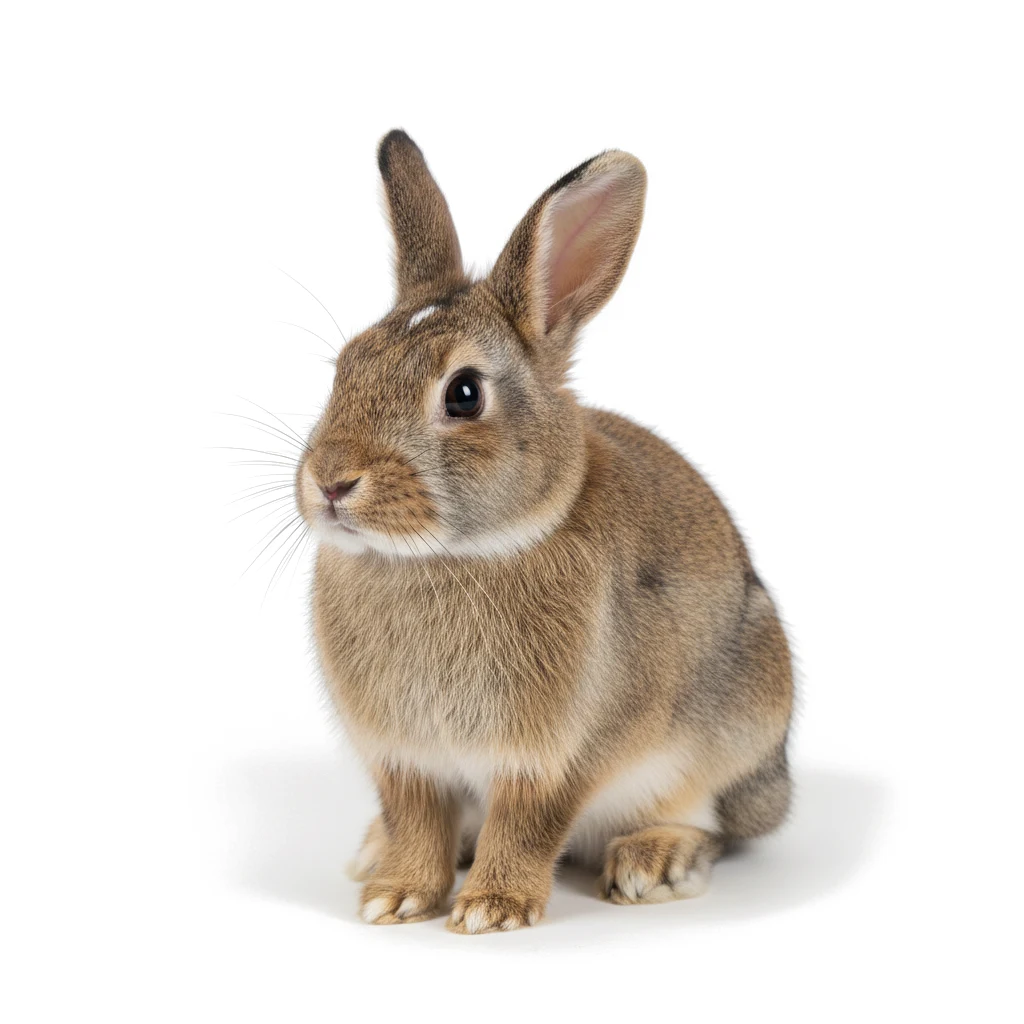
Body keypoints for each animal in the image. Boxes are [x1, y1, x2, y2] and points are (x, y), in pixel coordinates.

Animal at [293, 129, 794, 934]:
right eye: (345, 368)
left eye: (464, 394)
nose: (332, 482)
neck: (449, 556)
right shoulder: (405, 760)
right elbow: (417, 820)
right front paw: (396, 896)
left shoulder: (558, 755)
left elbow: (528, 823)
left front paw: (492, 909)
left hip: (731, 731)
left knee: (709, 820)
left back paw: (653, 862)